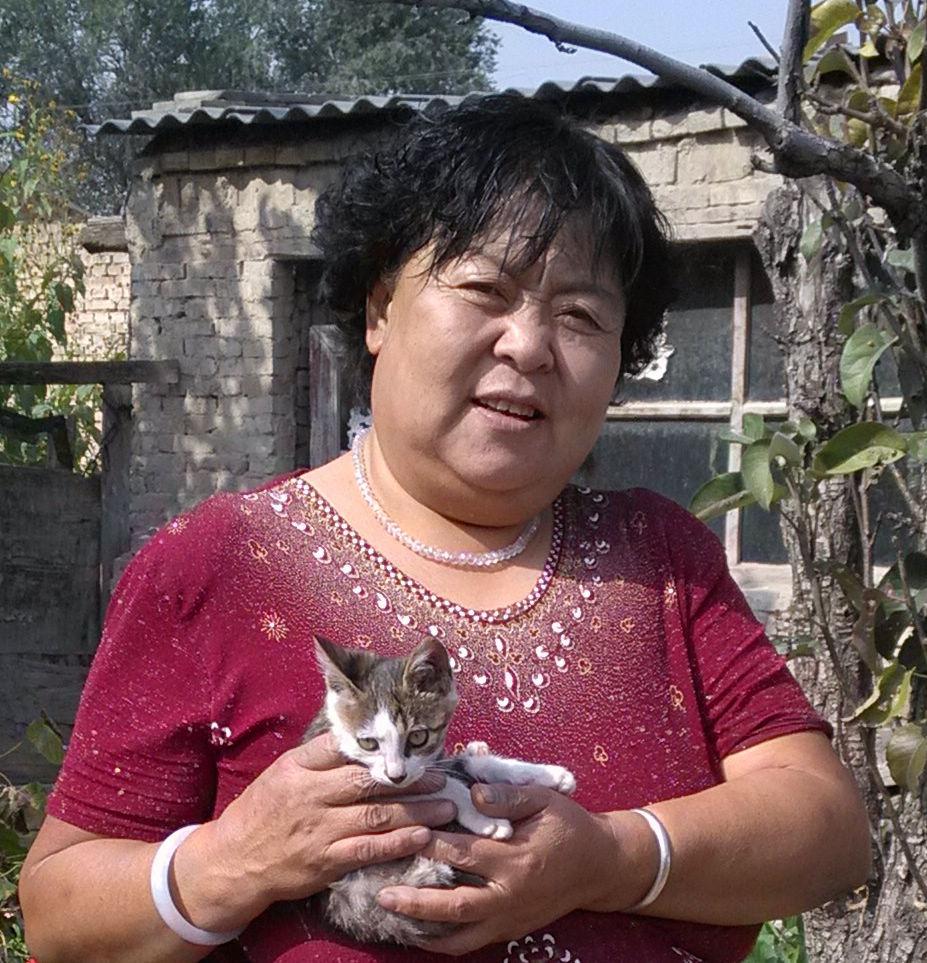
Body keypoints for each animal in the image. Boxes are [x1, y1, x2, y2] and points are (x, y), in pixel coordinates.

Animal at [304, 635, 577, 946]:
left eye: (418, 737)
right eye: (368, 743)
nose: (396, 775)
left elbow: (461, 768)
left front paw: (548, 775)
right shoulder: (358, 782)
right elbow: (444, 786)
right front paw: (487, 820)